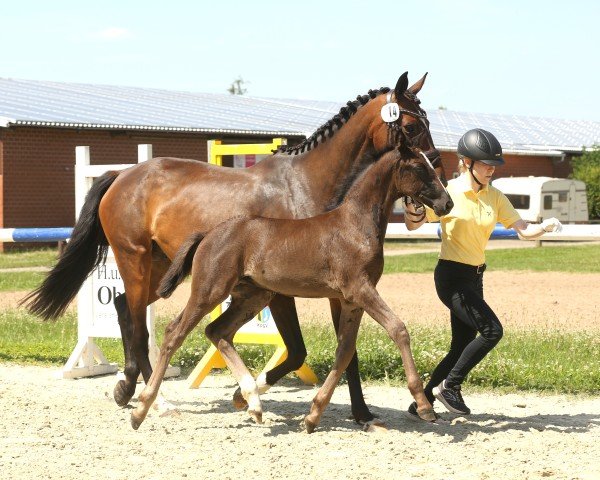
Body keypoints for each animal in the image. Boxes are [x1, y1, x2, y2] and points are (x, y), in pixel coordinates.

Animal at [130, 146, 450, 432]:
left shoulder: (352, 300)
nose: (447, 203)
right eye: (419, 167)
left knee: (217, 331)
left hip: (254, 296)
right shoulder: (360, 289)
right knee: (175, 333)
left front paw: (313, 416)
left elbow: (345, 351)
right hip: (210, 290)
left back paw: (253, 401)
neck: (355, 225)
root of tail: (209, 233)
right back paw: (142, 408)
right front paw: (424, 405)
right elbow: (398, 329)